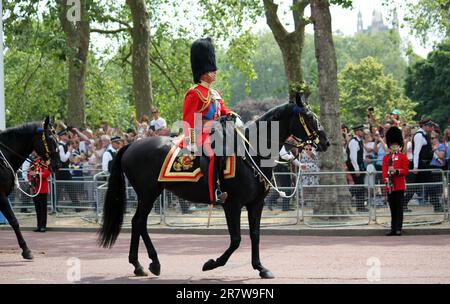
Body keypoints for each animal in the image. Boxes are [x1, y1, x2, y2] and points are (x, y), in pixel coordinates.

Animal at [100, 94, 328, 280]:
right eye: (309, 117)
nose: (326, 142)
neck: (252, 153)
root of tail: (131, 145)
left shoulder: (256, 204)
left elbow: (255, 235)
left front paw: (260, 267)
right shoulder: (232, 204)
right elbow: (236, 239)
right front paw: (211, 264)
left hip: (150, 193)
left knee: (138, 223)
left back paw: (142, 265)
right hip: (148, 193)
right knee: (139, 222)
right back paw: (148, 263)